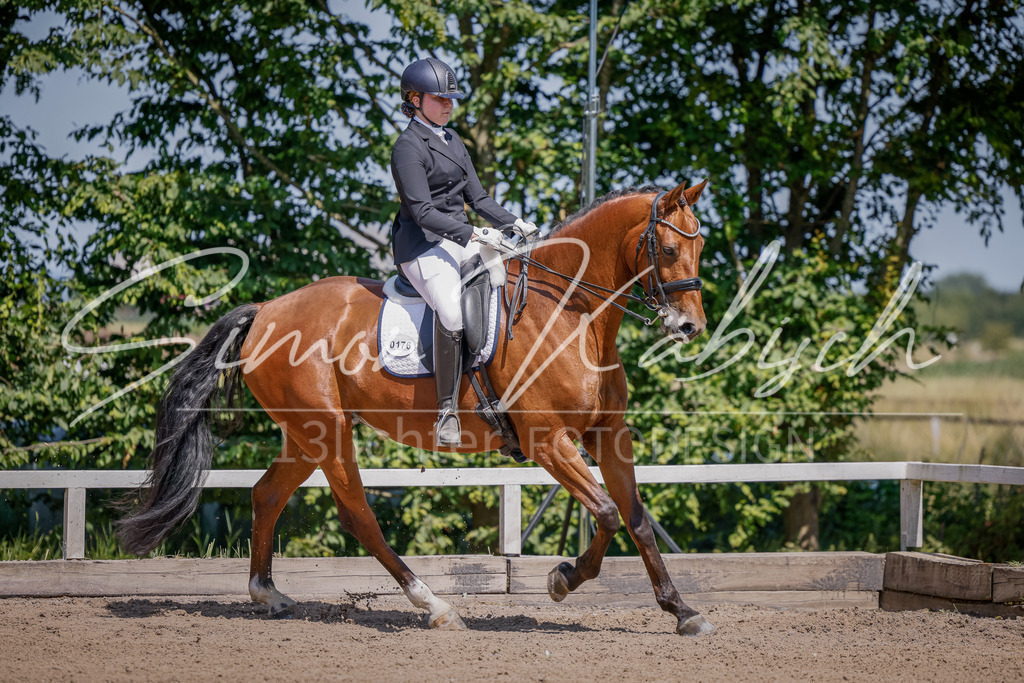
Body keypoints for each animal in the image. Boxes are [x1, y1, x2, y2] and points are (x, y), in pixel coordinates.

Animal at [117, 179, 713, 636]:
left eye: (700, 246)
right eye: (665, 250)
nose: (690, 327)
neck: (571, 313)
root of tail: (266, 311)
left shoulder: (608, 434)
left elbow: (635, 517)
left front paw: (682, 611)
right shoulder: (547, 441)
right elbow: (608, 513)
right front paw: (561, 580)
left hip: (306, 435)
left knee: (266, 495)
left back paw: (269, 595)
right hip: (327, 431)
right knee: (357, 514)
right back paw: (434, 606)